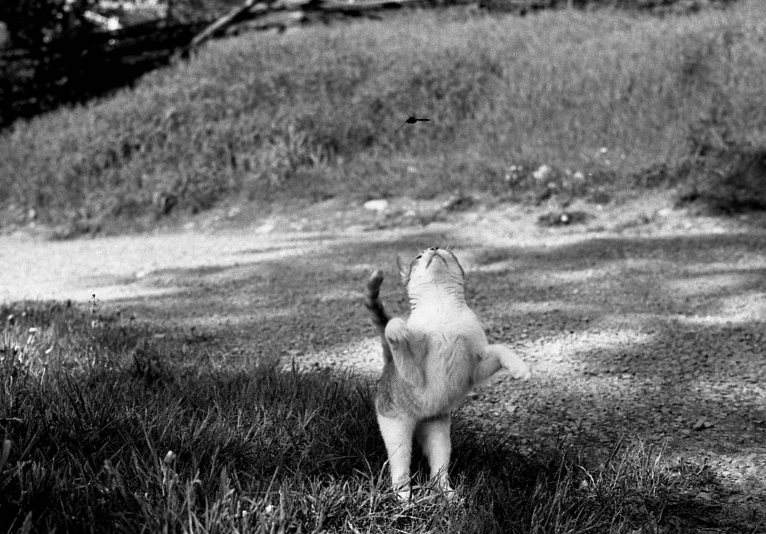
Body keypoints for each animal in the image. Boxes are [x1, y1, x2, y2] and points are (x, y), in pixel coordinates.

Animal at [366, 248, 536, 502]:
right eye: (418, 256)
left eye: (449, 251)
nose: (434, 248)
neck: (442, 308)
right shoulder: (412, 373)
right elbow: (393, 330)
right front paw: (397, 330)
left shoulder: (475, 368)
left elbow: (500, 349)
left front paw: (519, 367)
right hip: (397, 432)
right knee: (400, 467)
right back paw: (404, 495)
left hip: (440, 435)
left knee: (438, 470)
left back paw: (449, 495)